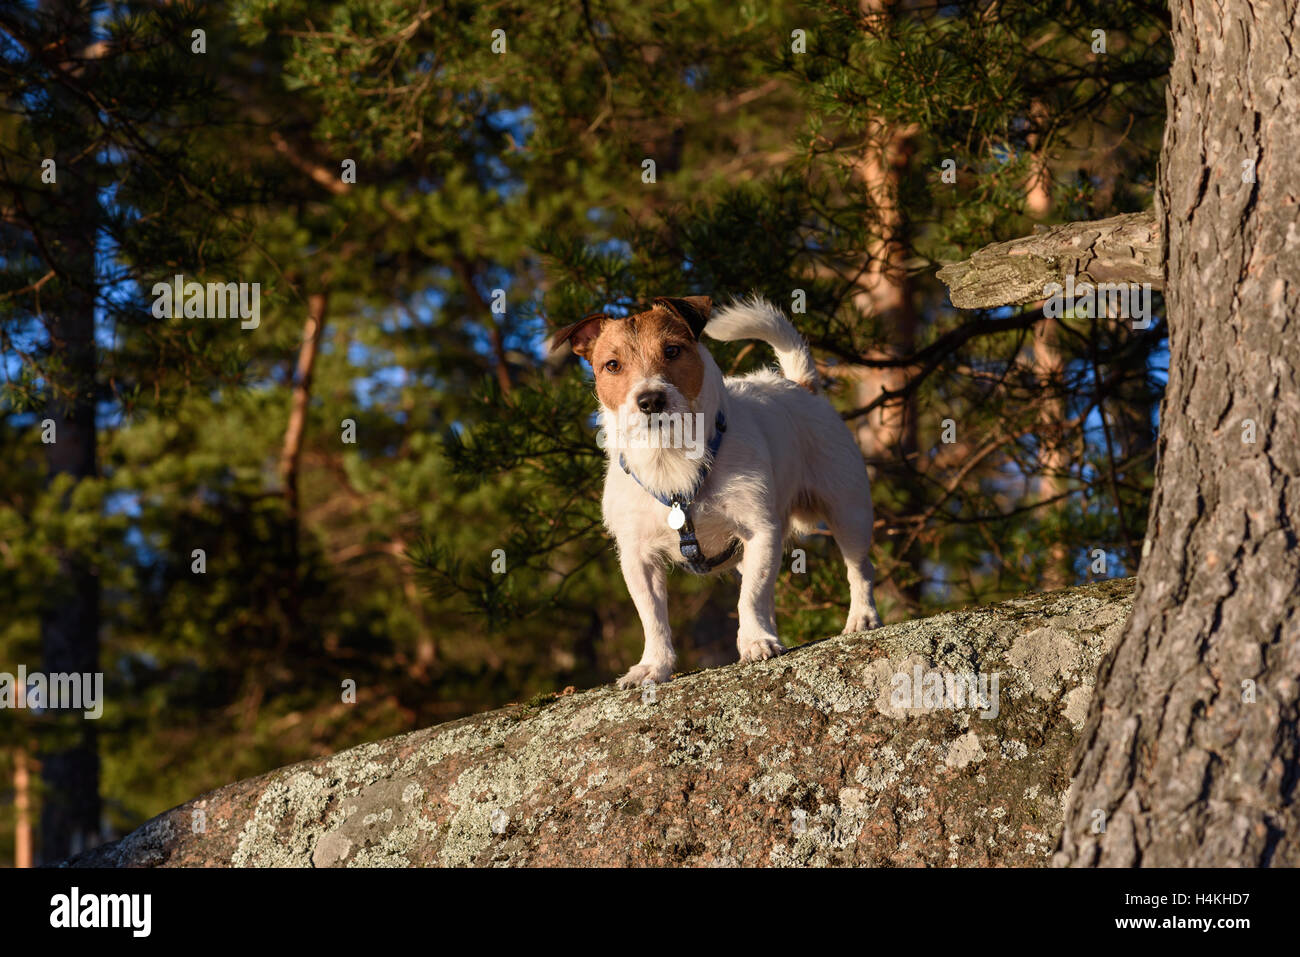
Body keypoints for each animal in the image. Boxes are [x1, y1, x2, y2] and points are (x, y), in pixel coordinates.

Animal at [551, 293, 883, 686]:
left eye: (672, 350)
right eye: (612, 365)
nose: (650, 400)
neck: (670, 460)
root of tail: (800, 385)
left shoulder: (759, 531)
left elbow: (749, 598)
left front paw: (754, 641)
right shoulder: (638, 558)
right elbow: (653, 616)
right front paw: (654, 665)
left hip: (848, 510)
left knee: (858, 567)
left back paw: (861, 617)